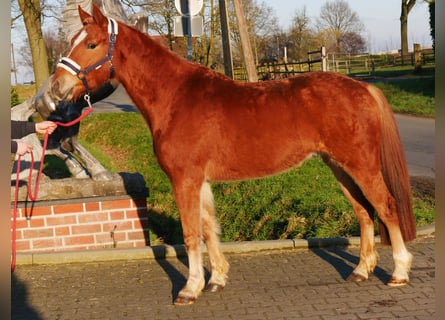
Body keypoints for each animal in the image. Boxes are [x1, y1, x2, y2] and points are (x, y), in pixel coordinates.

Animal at [50, 5, 414, 304]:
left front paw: (190, 288)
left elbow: (191, 233)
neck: (176, 97)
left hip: (361, 166)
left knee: (385, 206)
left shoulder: (185, 179)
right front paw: (216, 280)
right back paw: (362, 271)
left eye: (92, 44)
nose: (56, 88)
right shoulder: (200, 181)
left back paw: (399, 272)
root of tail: (362, 87)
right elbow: (209, 228)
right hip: (340, 168)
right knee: (364, 212)